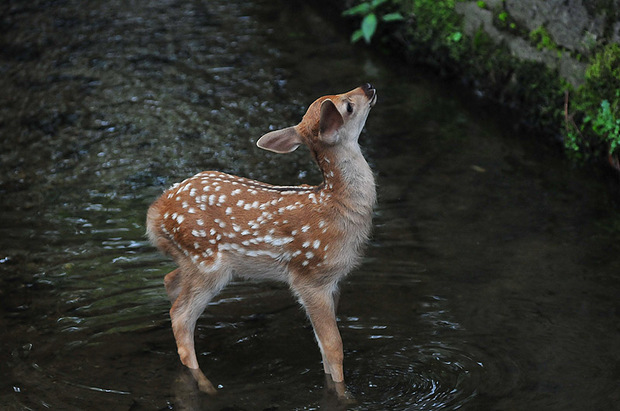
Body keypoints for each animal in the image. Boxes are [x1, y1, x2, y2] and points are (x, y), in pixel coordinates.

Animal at [146, 84, 378, 400]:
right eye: (349, 106)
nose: (368, 87)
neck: (338, 205)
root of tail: (155, 211)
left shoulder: (334, 283)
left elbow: (323, 348)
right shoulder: (310, 276)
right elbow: (334, 346)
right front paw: (344, 395)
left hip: (192, 260)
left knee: (170, 281)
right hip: (206, 261)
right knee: (180, 315)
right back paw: (207, 385)